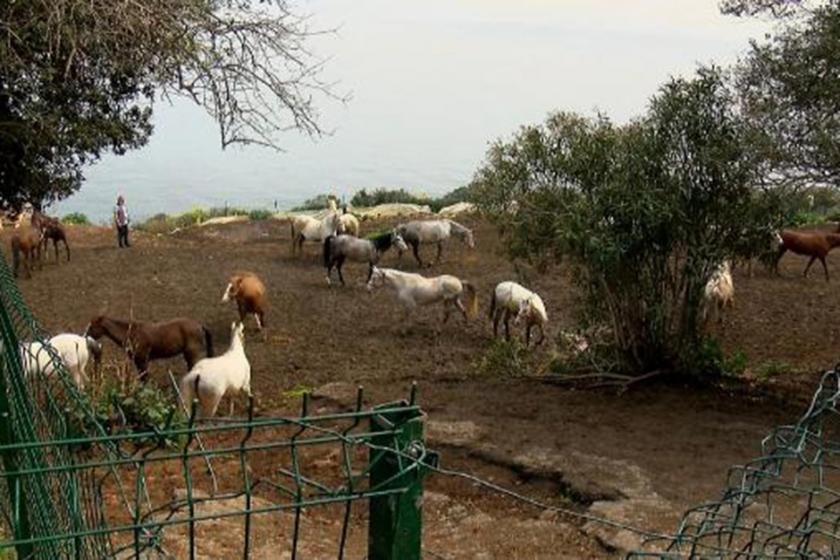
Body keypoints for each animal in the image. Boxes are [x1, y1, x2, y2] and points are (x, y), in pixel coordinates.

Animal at [84, 316, 213, 380]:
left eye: (92, 326)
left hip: (192, 353)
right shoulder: (137, 361)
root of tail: (199, 325)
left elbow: (144, 377)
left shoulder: (143, 360)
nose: (85, 336)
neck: (132, 333)